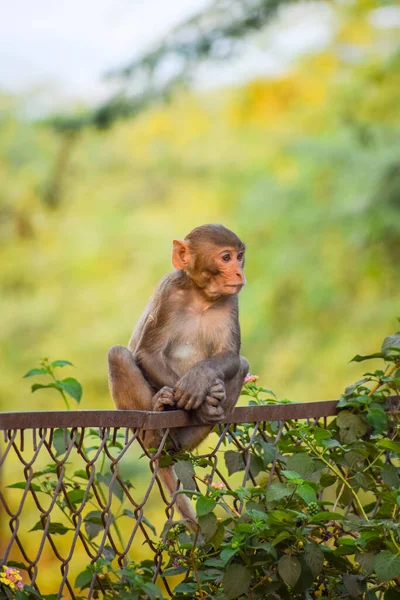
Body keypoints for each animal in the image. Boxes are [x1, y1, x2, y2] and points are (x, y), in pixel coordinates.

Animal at [108, 224, 248, 524]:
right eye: (226, 257)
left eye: (239, 256)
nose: (239, 273)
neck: (201, 297)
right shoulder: (168, 292)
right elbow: (147, 352)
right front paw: (199, 395)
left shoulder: (231, 299)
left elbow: (231, 356)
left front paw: (201, 384)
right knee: (118, 355)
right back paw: (157, 420)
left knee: (242, 365)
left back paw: (204, 416)